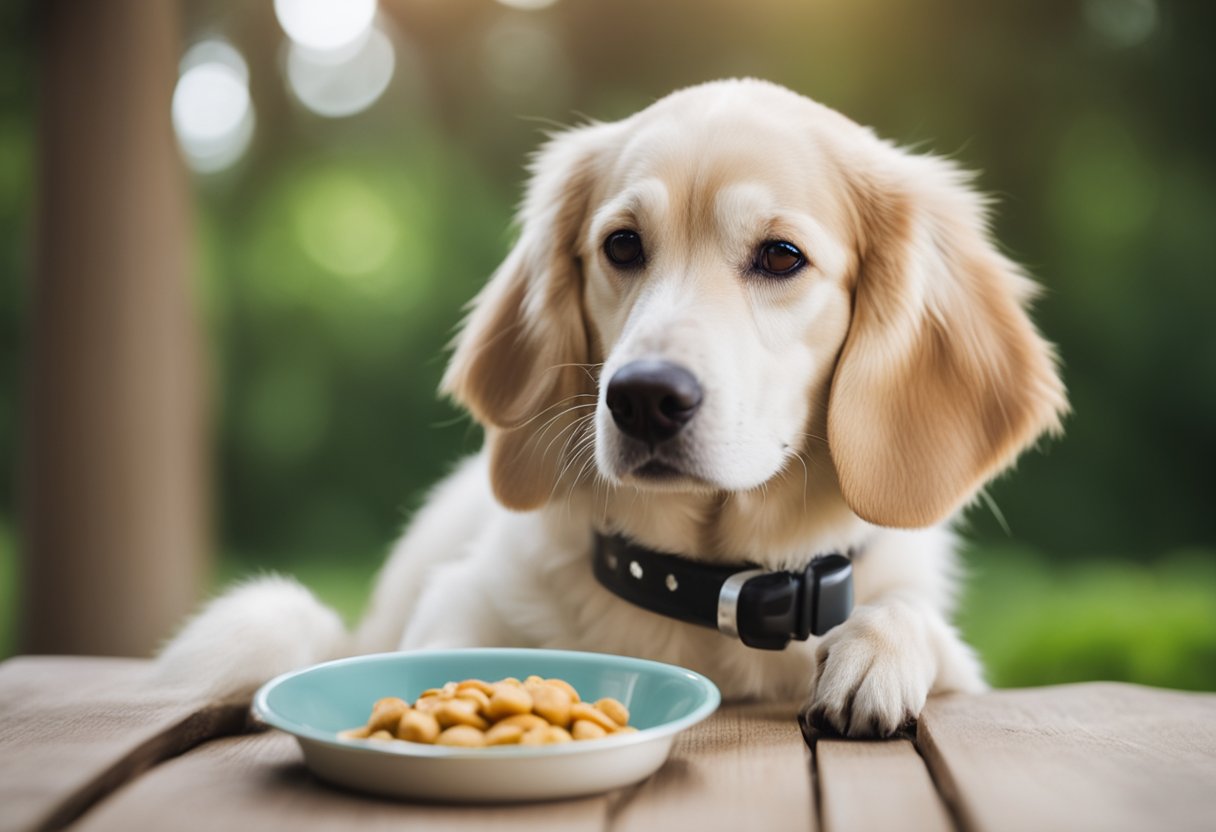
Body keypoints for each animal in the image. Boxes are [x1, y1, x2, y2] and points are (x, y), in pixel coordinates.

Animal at [159, 81, 1065, 739]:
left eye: (781, 256)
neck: (712, 590)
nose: (643, 399)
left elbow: (907, 612)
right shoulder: (456, 614)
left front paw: (872, 654)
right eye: (622, 245)